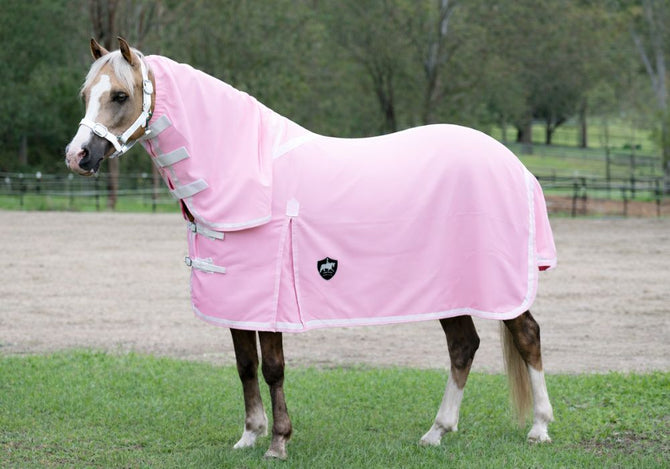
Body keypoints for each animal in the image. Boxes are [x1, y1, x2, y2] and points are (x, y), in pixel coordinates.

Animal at [65, 38, 556, 460]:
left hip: (499, 290)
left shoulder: (271, 303)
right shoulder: (236, 301)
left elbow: (272, 368)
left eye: (120, 95)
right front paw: (249, 436)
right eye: (86, 93)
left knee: (527, 335)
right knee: (463, 346)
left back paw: (539, 428)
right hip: (449, 291)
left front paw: (278, 442)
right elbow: (244, 365)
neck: (249, 173)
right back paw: (437, 432)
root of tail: (516, 167)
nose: (77, 157)